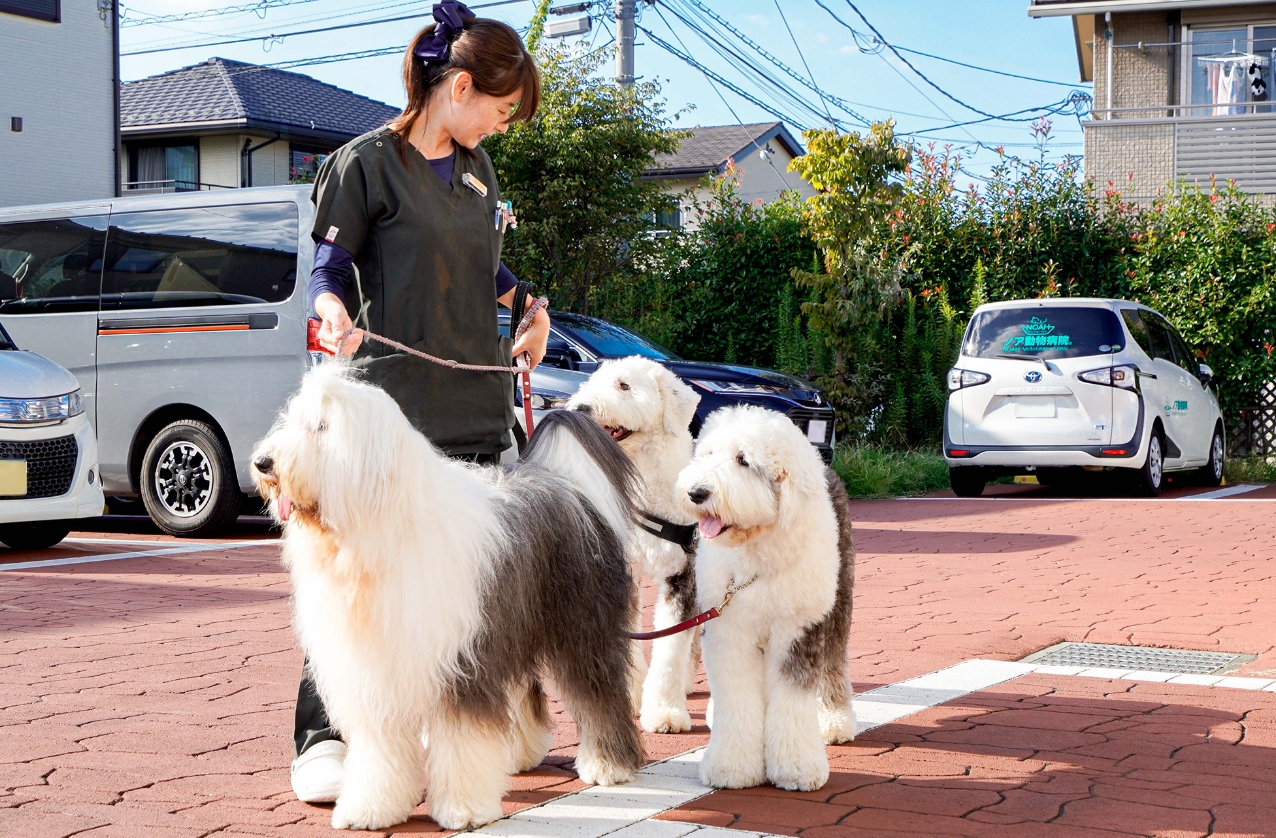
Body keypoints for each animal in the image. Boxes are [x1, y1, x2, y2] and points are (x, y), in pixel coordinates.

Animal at [251, 364, 648, 831]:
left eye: (322, 428)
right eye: (293, 420)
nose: (262, 462)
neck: (375, 534)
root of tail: (569, 485)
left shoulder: (460, 661)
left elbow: (462, 739)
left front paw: (464, 810)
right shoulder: (375, 670)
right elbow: (379, 748)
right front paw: (371, 808)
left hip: (581, 624)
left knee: (598, 691)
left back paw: (609, 765)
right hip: (511, 625)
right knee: (522, 690)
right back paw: (518, 754)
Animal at [571, 357, 709, 734]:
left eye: (624, 385)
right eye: (592, 380)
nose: (580, 408)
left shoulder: (682, 575)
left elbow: (671, 646)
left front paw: (664, 713)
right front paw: (631, 696)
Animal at [673, 405, 852, 790]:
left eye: (743, 460)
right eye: (708, 453)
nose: (696, 492)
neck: (757, 554)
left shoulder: (797, 629)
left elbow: (791, 698)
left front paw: (797, 767)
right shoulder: (729, 631)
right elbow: (736, 694)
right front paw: (731, 767)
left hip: (838, 600)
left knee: (833, 661)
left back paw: (835, 722)